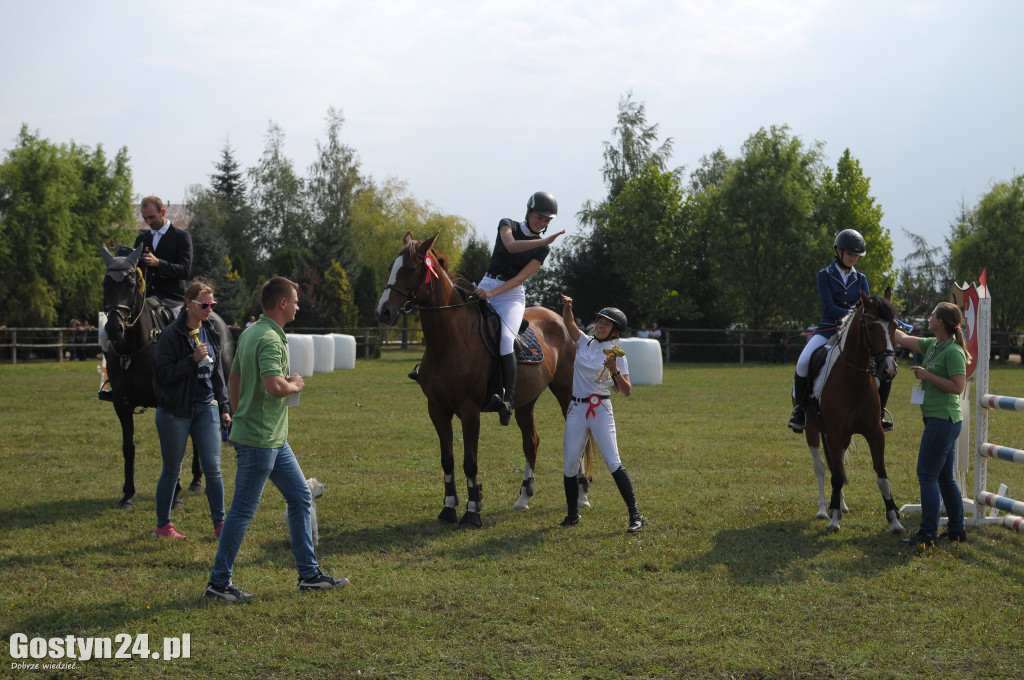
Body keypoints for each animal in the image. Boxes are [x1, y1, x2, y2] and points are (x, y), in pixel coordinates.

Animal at [376, 232, 585, 524]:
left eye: (410, 269)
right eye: (389, 268)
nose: (383, 311)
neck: (450, 341)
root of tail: (562, 320)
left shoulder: (469, 410)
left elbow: (470, 461)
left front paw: (473, 511)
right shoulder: (436, 409)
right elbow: (448, 459)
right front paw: (449, 507)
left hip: (566, 393)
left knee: (578, 441)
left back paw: (582, 495)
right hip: (525, 402)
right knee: (531, 442)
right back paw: (524, 498)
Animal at [798, 292, 905, 536]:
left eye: (894, 326)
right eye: (871, 327)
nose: (889, 369)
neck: (853, 379)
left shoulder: (875, 433)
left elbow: (882, 477)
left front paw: (895, 521)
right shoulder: (834, 434)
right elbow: (835, 476)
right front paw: (833, 521)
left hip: (844, 438)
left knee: (838, 466)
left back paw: (841, 506)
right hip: (812, 430)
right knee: (821, 467)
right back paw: (824, 510)